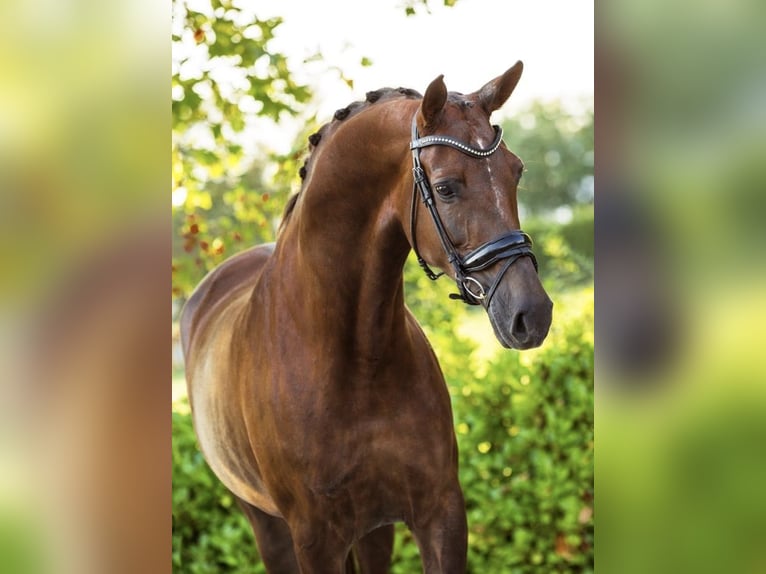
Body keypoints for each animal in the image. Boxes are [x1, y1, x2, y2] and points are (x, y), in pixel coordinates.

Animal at [180, 61, 553, 573]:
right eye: (446, 187)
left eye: (516, 172)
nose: (531, 314)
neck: (358, 359)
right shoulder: (315, 540)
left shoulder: (440, 512)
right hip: (264, 522)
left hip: (373, 527)